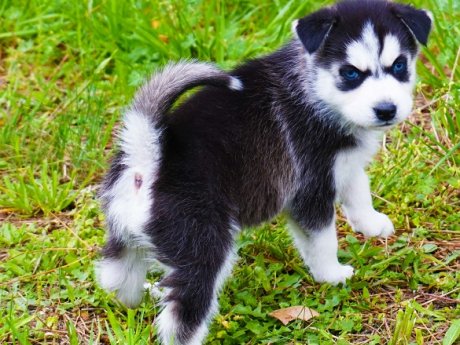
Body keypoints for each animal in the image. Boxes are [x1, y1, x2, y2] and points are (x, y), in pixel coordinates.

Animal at [94, 1, 432, 342]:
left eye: (399, 65)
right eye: (350, 73)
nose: (387, 110)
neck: (311, 88)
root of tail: (150, 155)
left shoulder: (341, 164)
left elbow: (358, 189)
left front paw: (372, 223)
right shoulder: (310, 189)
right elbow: (323, 240)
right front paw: (332, 274)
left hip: (126, 238)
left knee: (115, 278)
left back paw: (141, 299)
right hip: (202, 247)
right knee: (182, 317)